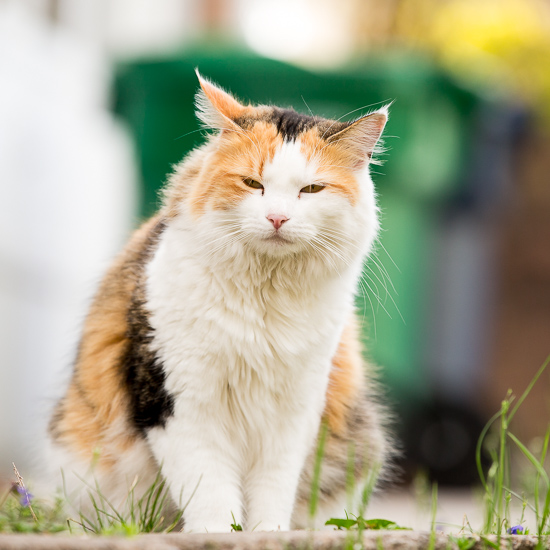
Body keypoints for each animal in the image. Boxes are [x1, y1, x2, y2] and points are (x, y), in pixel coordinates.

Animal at [46, 71, 396, 532]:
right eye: (252, 183)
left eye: (311, 189)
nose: (278, 218)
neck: (265, 301)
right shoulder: (179, 402)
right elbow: (210, 493)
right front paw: (218, 534)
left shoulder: (295, 412)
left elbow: (272, 494)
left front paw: (268, 535)